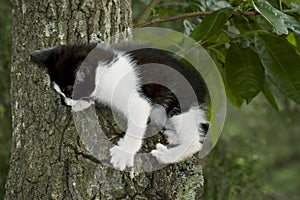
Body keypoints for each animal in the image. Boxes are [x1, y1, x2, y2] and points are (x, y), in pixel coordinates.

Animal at [30, 44, 209, 170]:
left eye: (69, 90)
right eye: (58, 92)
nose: (66, 103)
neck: (105, 72)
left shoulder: (138, 102)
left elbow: (136, 124)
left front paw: (124, 153)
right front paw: (82, 103)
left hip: (179, 102)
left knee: (195, 142)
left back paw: (168, 155)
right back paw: (173, 136)